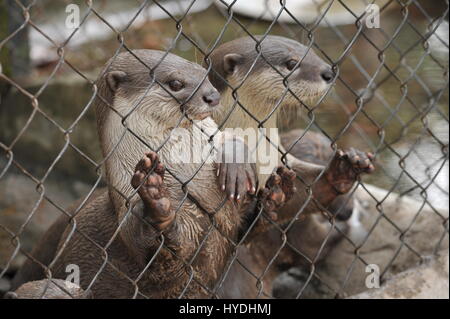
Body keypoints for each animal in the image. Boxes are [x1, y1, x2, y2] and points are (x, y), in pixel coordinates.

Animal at [11, 50, 296, 300]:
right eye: (176, 83)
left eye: (204, 74)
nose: (212, 96)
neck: (189, 175)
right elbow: (163, 254)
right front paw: (155, 198)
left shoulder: (230, 219)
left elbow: (248, 227)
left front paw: (265, 188)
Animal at [206, 36, 374, 298]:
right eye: (291, 63)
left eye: (311, 52)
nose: (328, 72)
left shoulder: (280, 162)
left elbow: (302, 193)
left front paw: (341, 171)